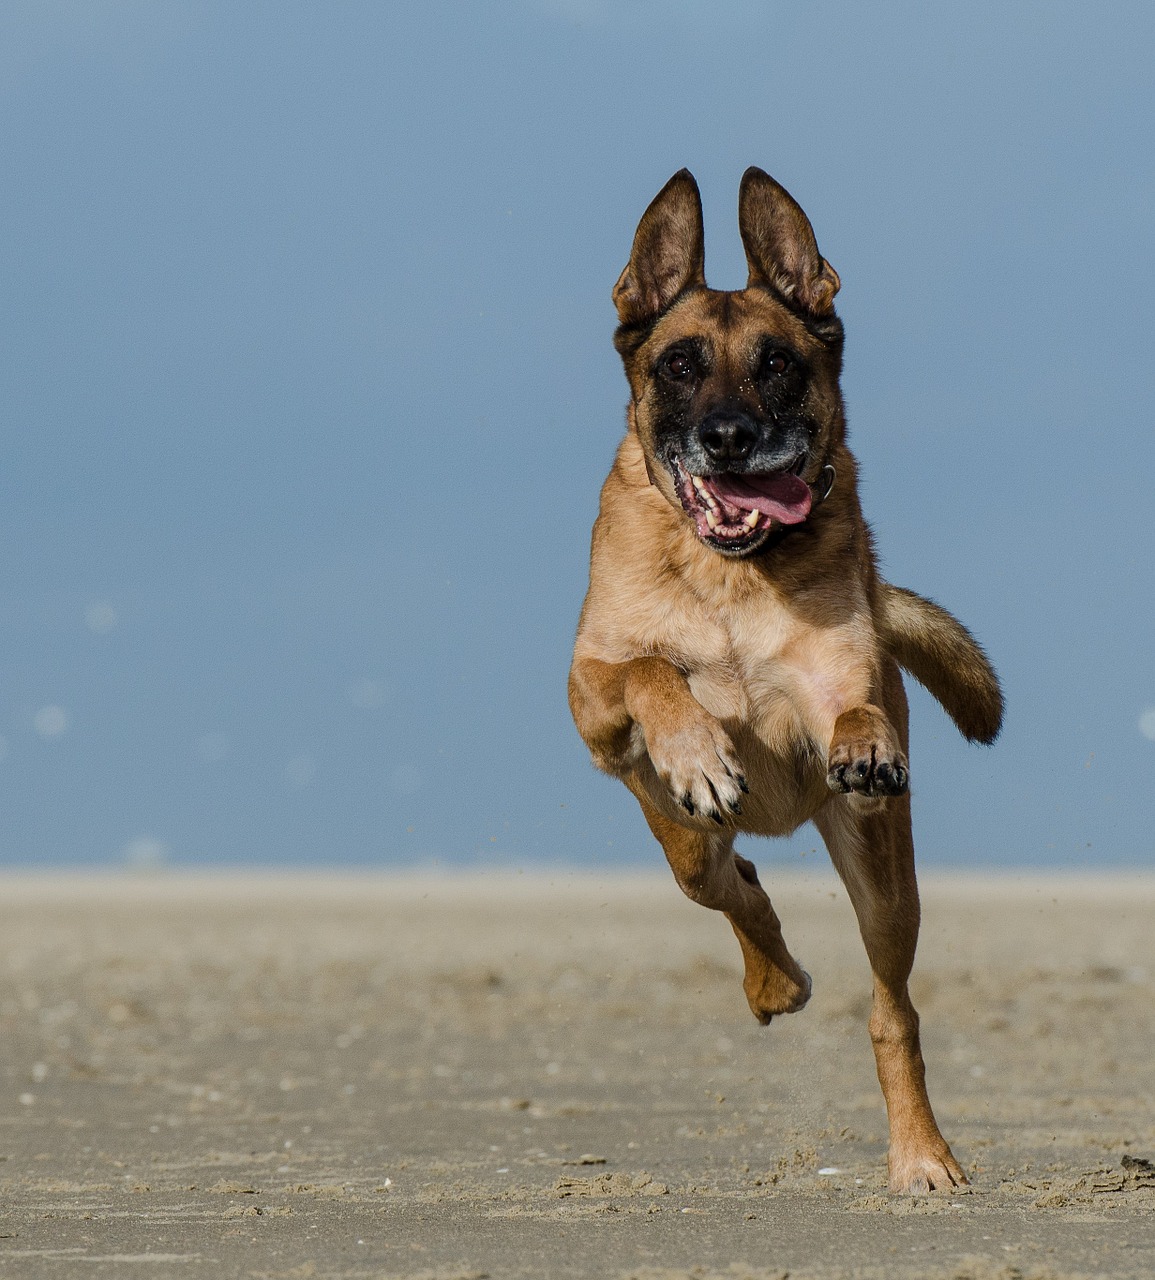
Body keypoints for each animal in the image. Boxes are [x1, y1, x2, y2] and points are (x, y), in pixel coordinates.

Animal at [568, 165, 1003, 1192]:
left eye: (777, 364)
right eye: (679, 366)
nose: (729, 438)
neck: (732, 569)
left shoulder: (839, 681)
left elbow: (850, 708)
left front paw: (864, 745)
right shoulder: (589, 696)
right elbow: (650, 667)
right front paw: (696, 749)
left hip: (885, 879)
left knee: (891, 1009)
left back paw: (921, 1156)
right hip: (681, 845)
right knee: (733, 885)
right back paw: (774, 975)